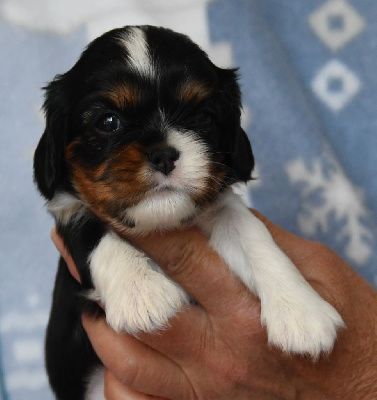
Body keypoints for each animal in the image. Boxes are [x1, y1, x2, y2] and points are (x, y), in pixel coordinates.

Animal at [33, 25, 342, 400]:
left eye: (203, 117)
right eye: (108, 121)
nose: (164, 154)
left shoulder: (223, 209)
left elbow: (254, 237)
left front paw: (302, 311)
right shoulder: (69, 210)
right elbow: (91, 231)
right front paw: (142, 291)